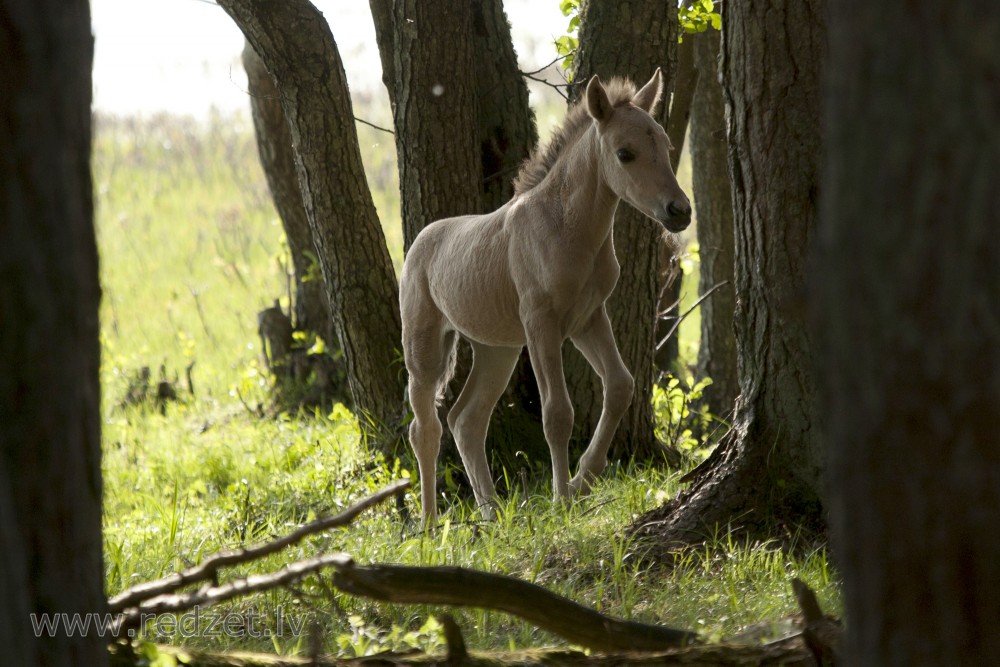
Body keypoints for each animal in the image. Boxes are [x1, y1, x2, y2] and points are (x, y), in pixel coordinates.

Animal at [398, 69, 688, 528]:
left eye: (666, 145)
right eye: (625, 153)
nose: (680, 211)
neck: (567, 229)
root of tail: (419, 243)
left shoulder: (588, 318)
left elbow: (620, 385)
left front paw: (583, 480)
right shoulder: (541, 324)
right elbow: (557, 413)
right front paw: (562, 498)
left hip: (496, 349)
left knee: (466, 421)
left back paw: (492, 514)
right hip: (424, 345)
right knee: (425, 426)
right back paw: (428, 522)